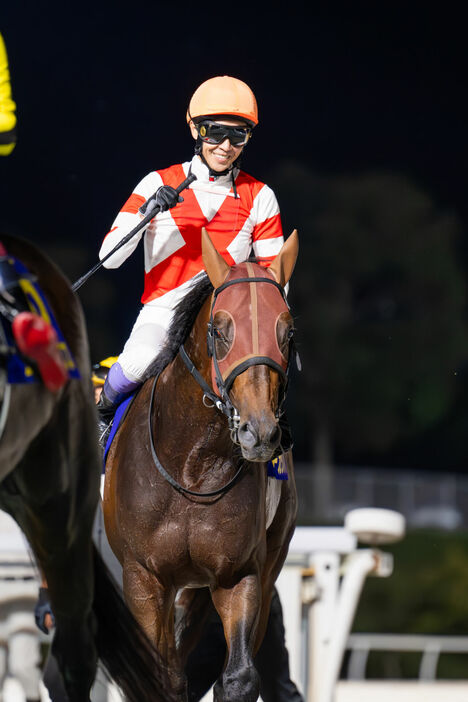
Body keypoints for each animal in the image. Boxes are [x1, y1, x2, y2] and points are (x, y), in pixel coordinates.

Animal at [103, 228, 300, 700]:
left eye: (288, 332)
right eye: (220, 329)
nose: (259, 432)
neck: (193, 464)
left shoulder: (239, 574)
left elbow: (239, 676)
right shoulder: (143, 577)